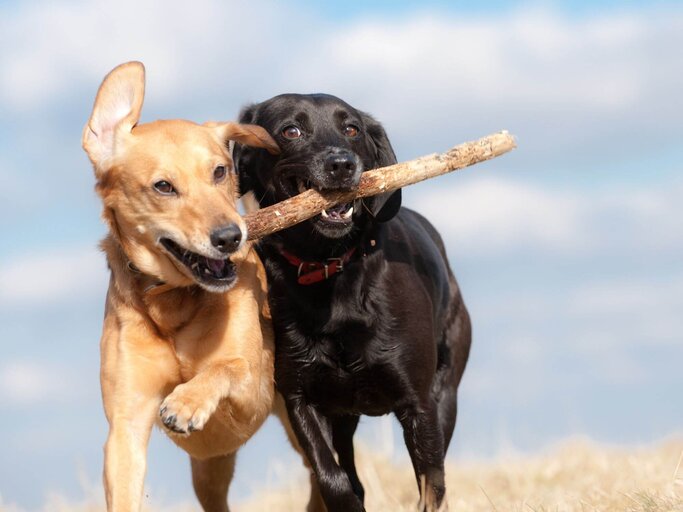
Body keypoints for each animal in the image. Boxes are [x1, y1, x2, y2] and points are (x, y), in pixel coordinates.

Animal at [82, 61, 280, 512]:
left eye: (220, 171)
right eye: (163, 186)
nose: (230, 237)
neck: (171, 303)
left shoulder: (254, 393)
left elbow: (227, 365)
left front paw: (186, 401)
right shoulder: (125, 428)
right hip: (209, 471)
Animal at [232, 94, 472, 510]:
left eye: (352, 129)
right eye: (291, 130)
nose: (342, 164)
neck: (329, 270)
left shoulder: (420, 405)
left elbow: (431, 483)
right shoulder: (302, 401)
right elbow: (333, 479)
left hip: (448, 390)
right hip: (344, 415)